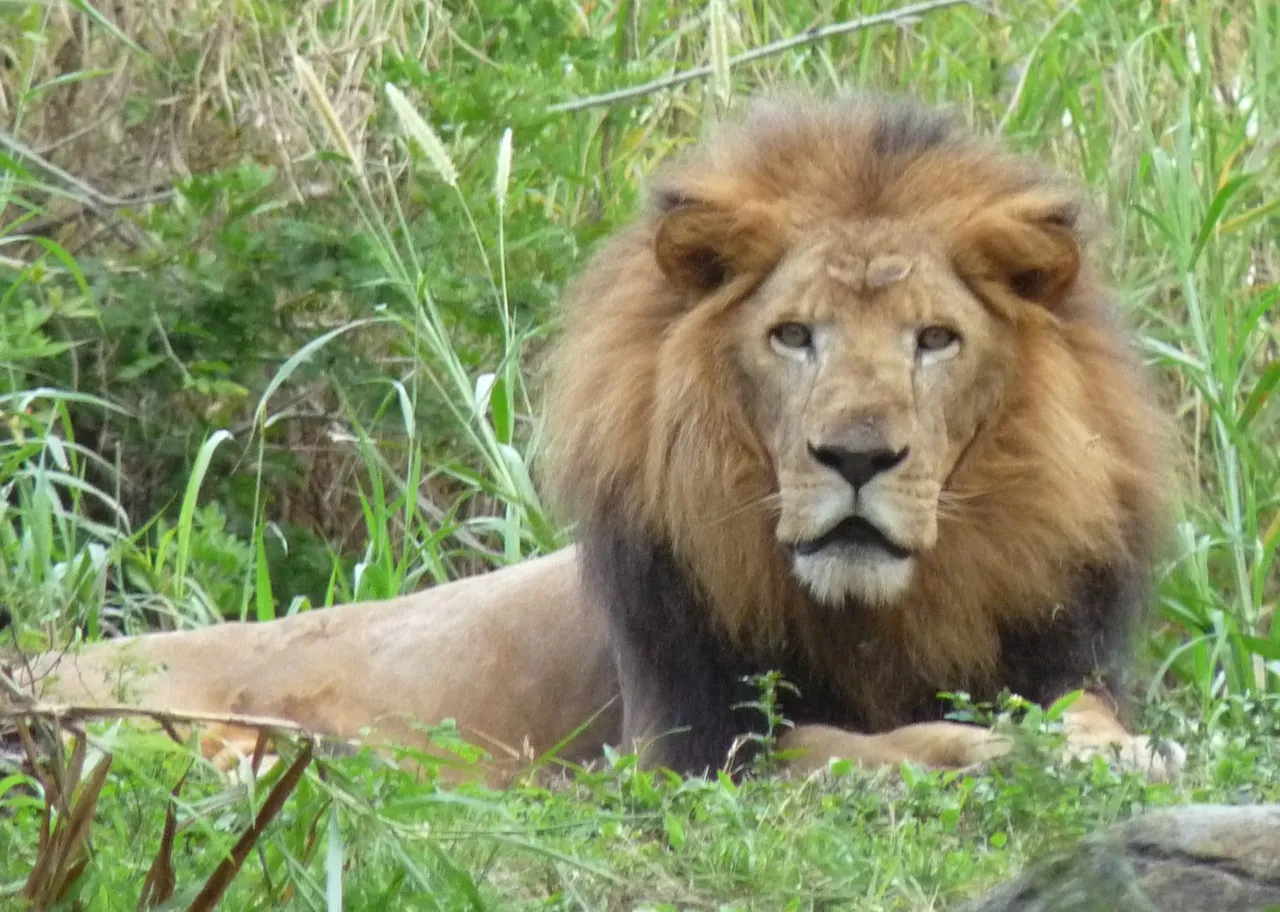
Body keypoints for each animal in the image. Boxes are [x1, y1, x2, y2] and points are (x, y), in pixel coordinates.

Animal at [7, 93, 1181, 783]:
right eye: (792, 335)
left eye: (934, 339)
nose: (855, 457)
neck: (882, 618)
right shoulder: (678, 755)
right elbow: (859, 744)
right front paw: (1006, 754)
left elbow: (1072, 712)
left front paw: (1113, 749)